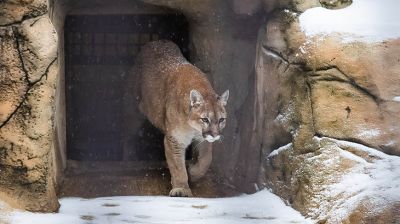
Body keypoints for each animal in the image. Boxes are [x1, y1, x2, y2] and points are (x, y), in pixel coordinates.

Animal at [134, 41, 228, 197]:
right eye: (205, 119)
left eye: (221, 120)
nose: (215, 135)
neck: (193, 128)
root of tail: (154, 42)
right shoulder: (175, 139)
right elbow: (178, 167)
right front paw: (181, 189)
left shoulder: (202, 139)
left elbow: (206, 159)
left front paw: (193, 173)